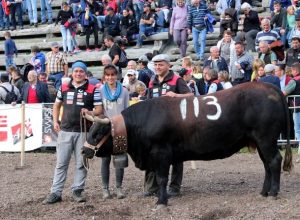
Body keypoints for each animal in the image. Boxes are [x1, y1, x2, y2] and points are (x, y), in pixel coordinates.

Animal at [82, 82, 292, 206]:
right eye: (90, 130)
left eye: (98, 133)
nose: (84, 150)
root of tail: (270, 87)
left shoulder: (161, 153)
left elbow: (162, 178)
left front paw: (161, 201)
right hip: (259, 141)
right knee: (267, 165)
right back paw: (263, 192)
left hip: (266, 138)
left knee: (274, 161)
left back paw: (273, 193)